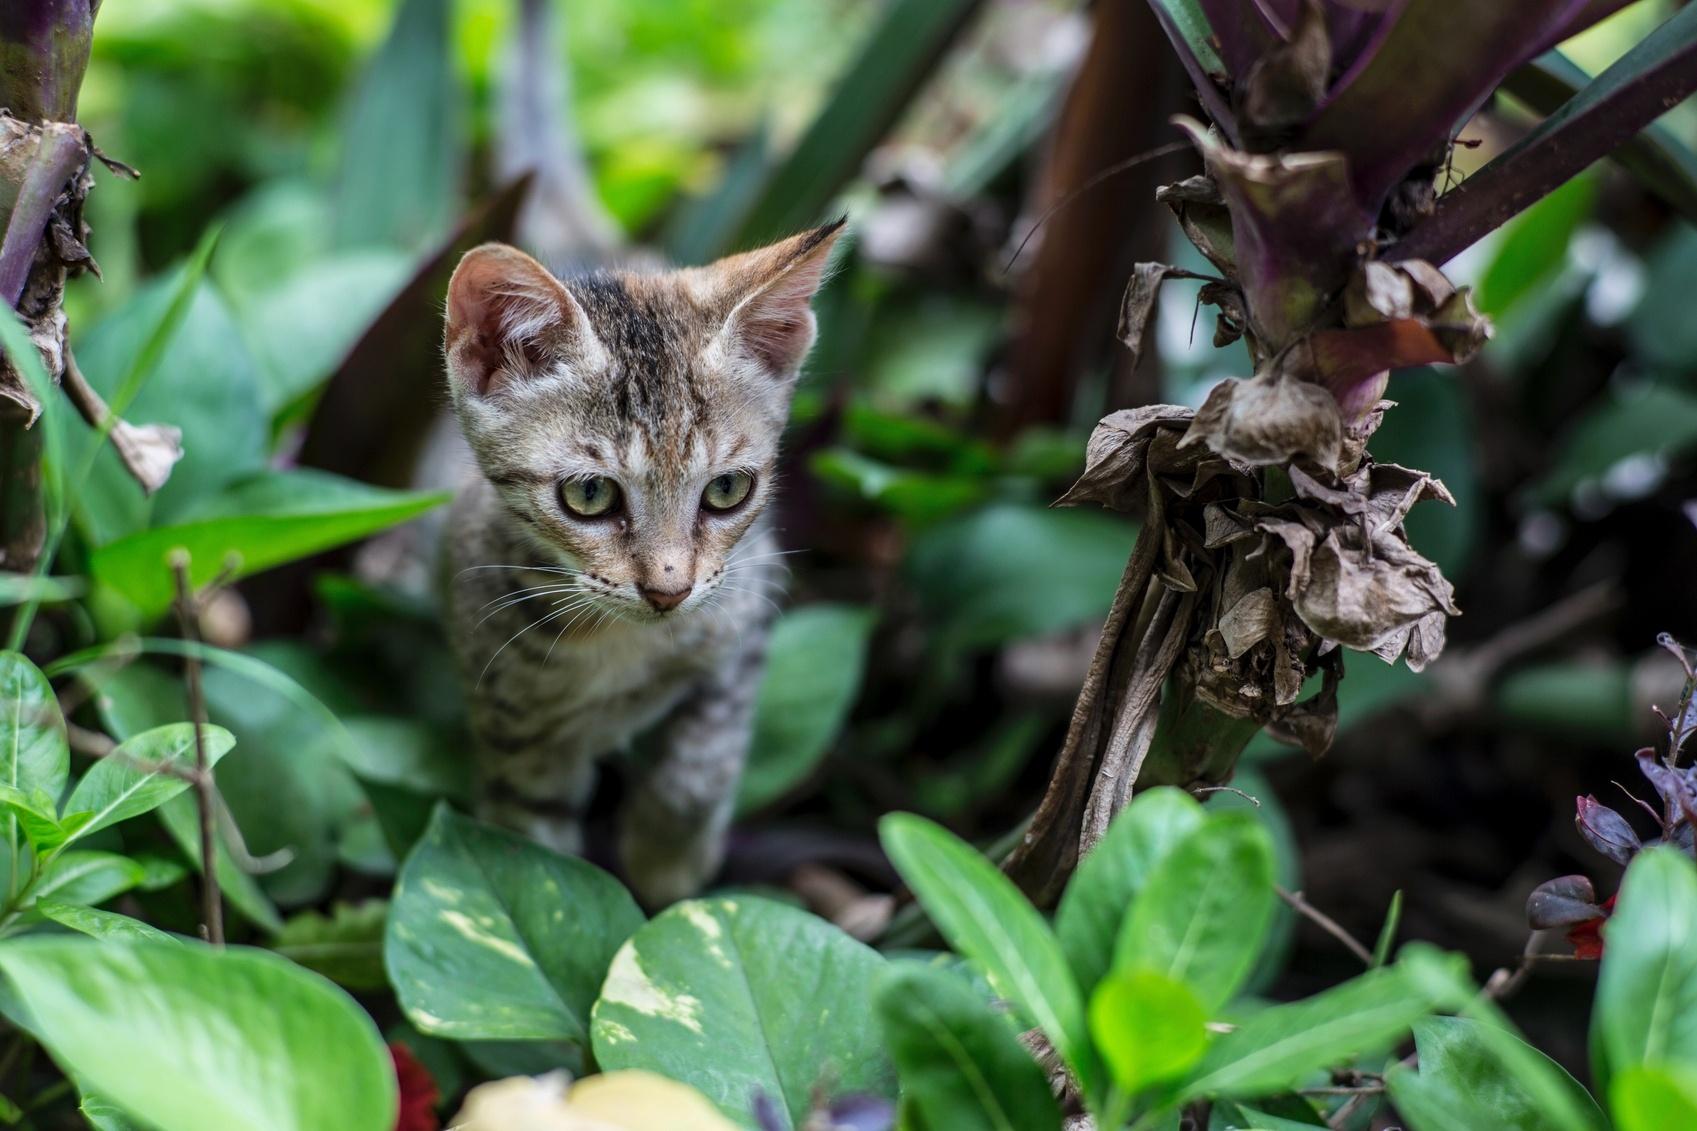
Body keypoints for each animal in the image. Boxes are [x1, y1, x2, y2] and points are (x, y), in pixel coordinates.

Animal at [434, 222, 838, 910]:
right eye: (590, 494)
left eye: (727, 489)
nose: (667, 590)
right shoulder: (513, 723)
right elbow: (533, 846)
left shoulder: (747, 608)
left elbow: (703, 766)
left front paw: (667, 861)